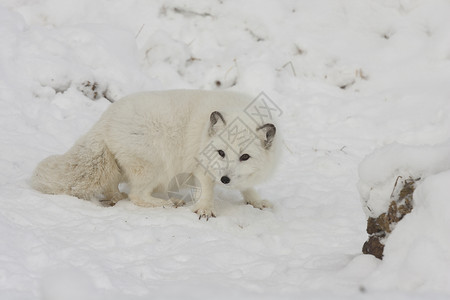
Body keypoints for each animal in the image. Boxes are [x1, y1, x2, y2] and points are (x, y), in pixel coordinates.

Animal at [30, 89, 278, 218]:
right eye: (220, 153)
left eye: (244, 157)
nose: (225, 179)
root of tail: (104, 121)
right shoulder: (200, 166)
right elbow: (206, 189)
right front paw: (205, 209)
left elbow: (248, 187)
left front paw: (256, 202)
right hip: (153, 167)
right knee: (137, 196)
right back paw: (168, 203)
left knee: (114, 186)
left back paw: (116, 198)